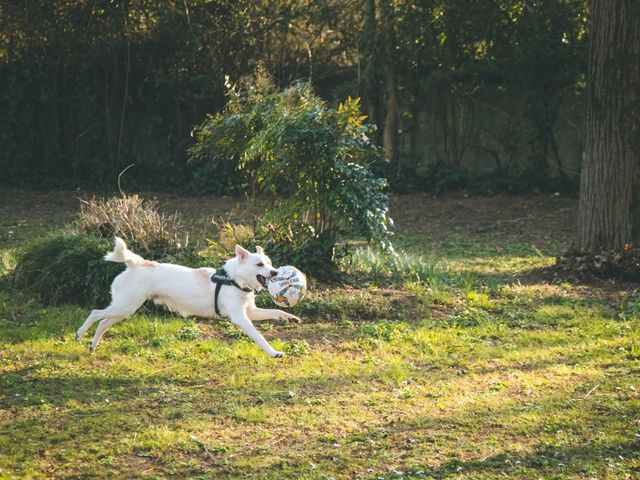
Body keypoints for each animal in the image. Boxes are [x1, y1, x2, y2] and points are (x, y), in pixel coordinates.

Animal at [76, 238, 302, 358]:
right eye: (259, 264)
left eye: (269, 262)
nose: (275, 272)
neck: (234, 279)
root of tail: (137, 262)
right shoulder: (241, 318)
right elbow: (259, 336)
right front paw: (273, 352)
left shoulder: (251, 312)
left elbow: (276, 311)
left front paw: (290, 318)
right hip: (125, 306)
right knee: (96, 313)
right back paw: (79, 334)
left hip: (125, 308)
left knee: (103, 322)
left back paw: (92, 346)